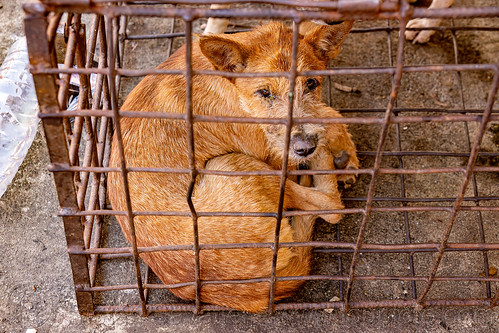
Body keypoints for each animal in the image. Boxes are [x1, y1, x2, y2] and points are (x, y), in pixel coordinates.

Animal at [109, 20, 360, 312]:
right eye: (264, 92)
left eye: (311, 83)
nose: (304, 147)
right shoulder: (269, 152)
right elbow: (326, 117)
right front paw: (335, 148)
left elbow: (324, 113)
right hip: (235, 164)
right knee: (331, 206)